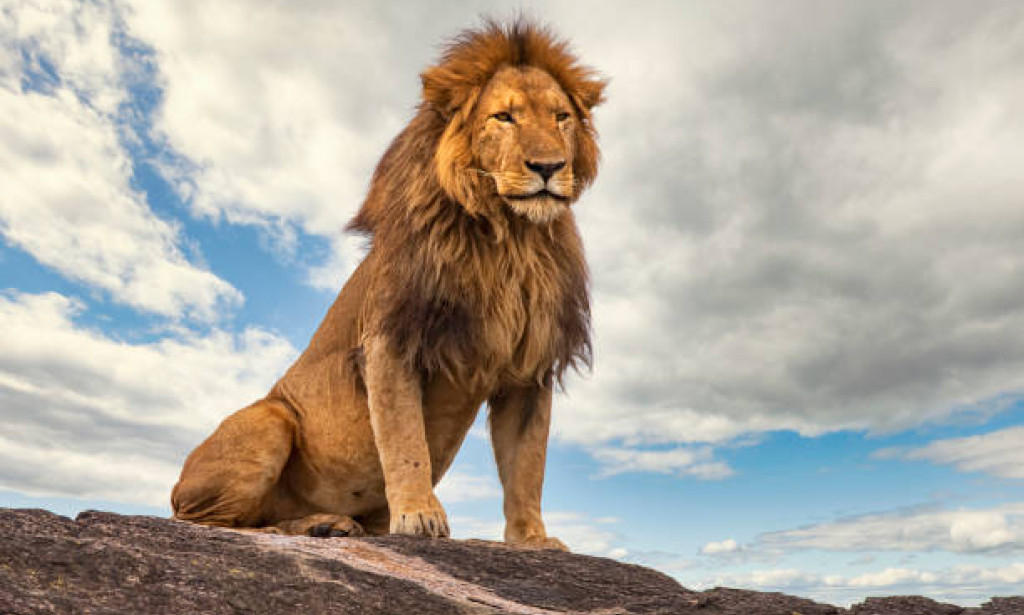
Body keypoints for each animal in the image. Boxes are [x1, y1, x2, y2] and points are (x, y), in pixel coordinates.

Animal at [171, 19, 606, 550]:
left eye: (561, 117)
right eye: (504, 117)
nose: (549, 167)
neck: (510, 238)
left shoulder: (529, 368)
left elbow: (527, 464)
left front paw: (532, 539)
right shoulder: (391, 340)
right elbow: (405, 441)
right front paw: (420, 516)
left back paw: (329, 523)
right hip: (268, 421)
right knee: (206, 521)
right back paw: (304, 526)